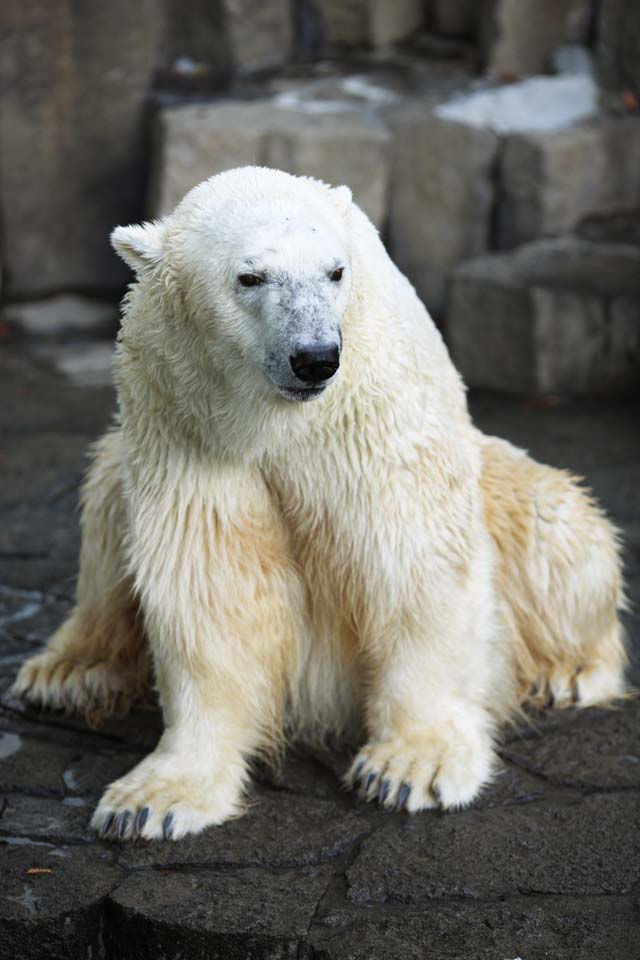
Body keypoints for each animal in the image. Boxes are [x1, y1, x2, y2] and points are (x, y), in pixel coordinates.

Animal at [12, 167, 628, 840]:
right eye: (250, 277)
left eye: (335, 271)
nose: (314, 359)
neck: (274, 421)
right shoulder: (185, 426)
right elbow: (209, 577)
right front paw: (153, 799)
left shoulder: (372, 416)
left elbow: (413, 555)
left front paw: (411, 766)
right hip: (121, 463)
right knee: (104, 502)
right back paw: (68, 673)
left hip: (507, 486)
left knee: (558, 529)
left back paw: (569, 672)